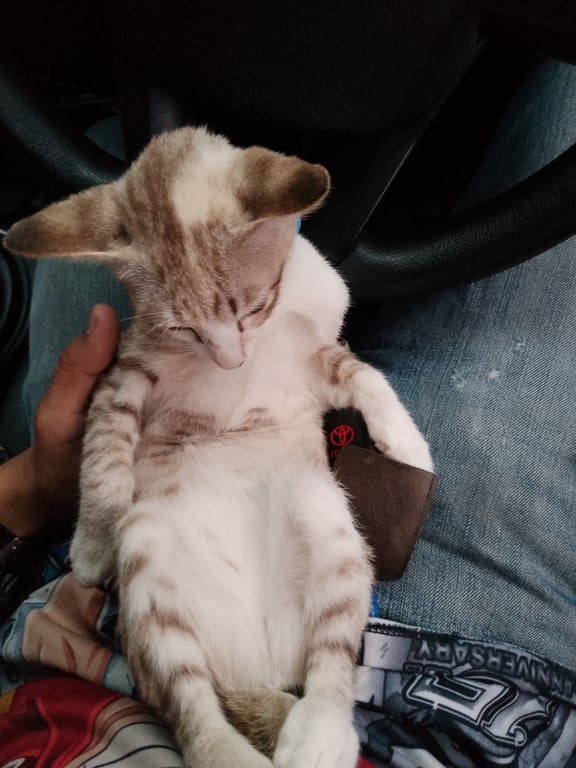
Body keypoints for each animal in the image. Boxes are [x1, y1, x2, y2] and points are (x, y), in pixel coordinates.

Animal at [4, 126, 433, 768]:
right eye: (182, 328)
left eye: (252, 306)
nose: (231, 361)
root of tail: (257, 664)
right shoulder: (122, 376)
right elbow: (103, 456)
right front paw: (93, 541)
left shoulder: (315, 359)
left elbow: (367, 377)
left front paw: (409, 446)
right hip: (151, 563)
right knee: (191, 703)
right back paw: (230, 748)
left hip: (328, 523)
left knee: (330, 663)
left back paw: (318, 734)